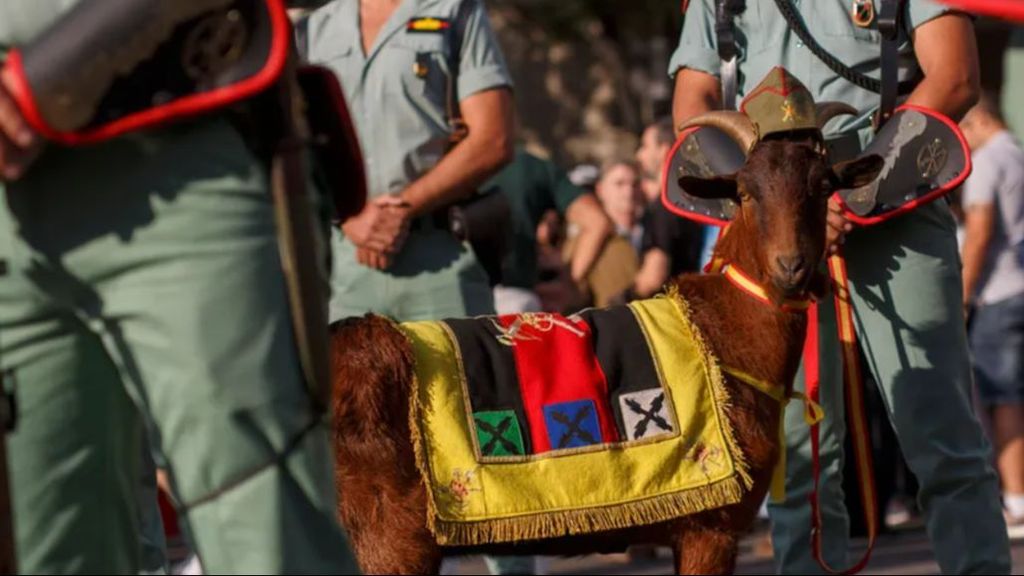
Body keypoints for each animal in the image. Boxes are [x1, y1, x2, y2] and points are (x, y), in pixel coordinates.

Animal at [331, 119, 884, 569]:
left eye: (824, 187)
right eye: (744, 193)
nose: (790, 266)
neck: (718, 333)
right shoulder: (711, 527)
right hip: (388, 535)